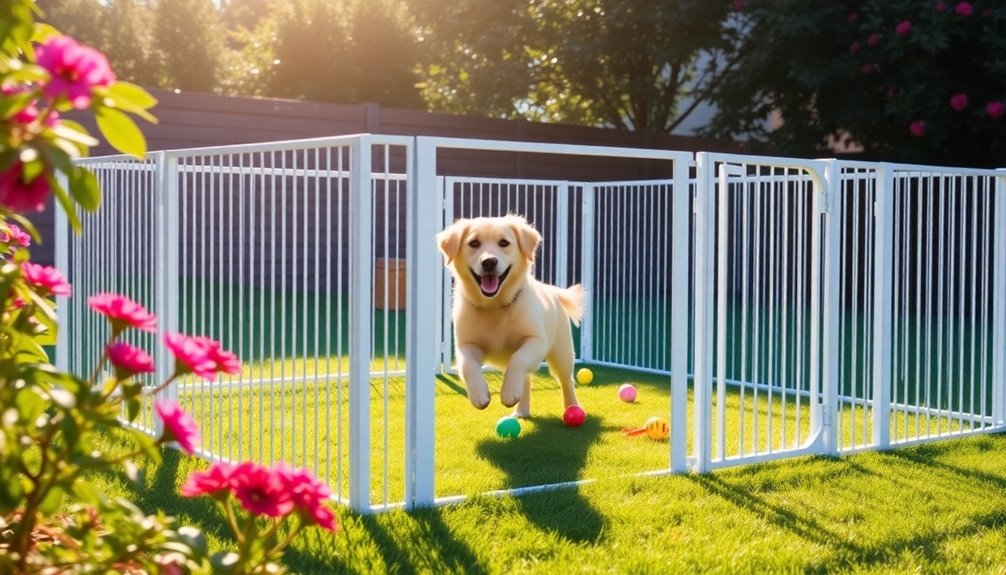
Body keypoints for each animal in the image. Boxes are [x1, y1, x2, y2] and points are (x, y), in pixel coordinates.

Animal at [436, 213, 587, 416]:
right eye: (474, 243)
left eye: (504, 243)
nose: (489, 262)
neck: (494, 306)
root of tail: (552, 291)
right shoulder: (467, 345)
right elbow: (468, 366)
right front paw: (479, 394)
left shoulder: (535, 340)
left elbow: (518, 359)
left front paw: (508, 392)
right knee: (527, 378)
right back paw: (521, 410)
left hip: (562, 352)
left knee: (566, 380)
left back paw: (572, 407)